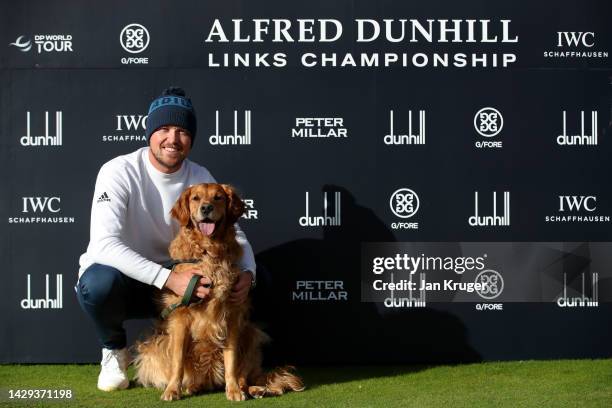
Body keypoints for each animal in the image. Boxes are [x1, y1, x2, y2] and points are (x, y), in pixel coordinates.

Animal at [135, 183, 304, 400]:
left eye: (218, 197)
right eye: (196, 198)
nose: (206, 208)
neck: (209, 252)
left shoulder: (231, 316)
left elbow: (231, 359)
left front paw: (233, 390)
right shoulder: (180, 317)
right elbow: (178, 361)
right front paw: (172, 390)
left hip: (251, 335)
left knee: (245, 375)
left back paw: (252, 389)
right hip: (156, 346)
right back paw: (193, 387)